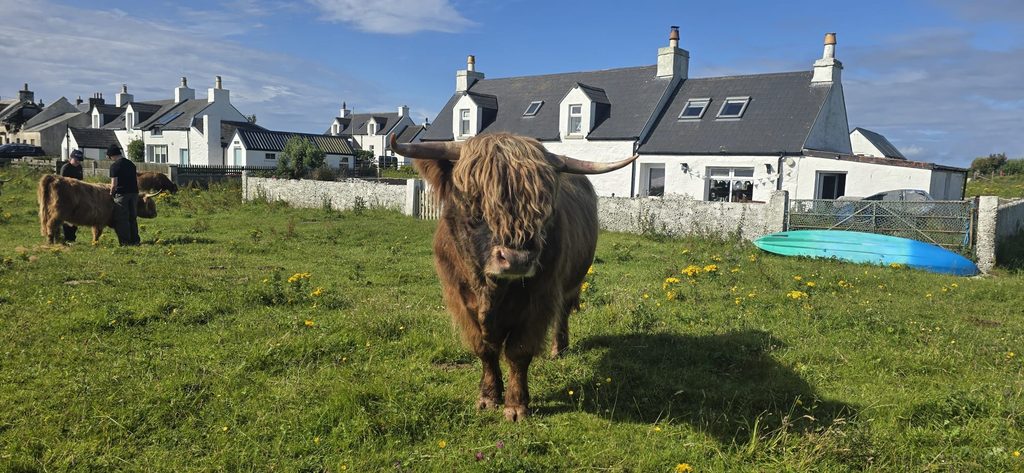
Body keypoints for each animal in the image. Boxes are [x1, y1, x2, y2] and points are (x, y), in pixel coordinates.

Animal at [390, 133, 637, 421]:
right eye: (473, 200)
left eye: (543, 208)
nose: (517, 259)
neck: (490, 291)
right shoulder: (461, 300)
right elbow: (485, 350)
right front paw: (488, 397)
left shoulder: (538, 301)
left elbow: (518, 352)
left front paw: (516, 405)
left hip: (572, 283)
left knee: (562, 313)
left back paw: (559, 349)